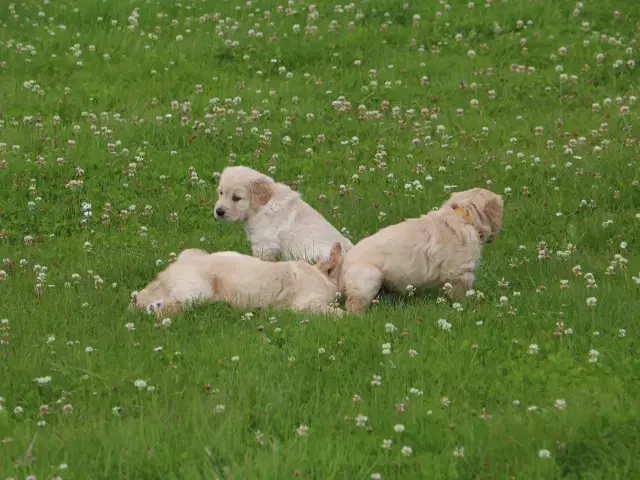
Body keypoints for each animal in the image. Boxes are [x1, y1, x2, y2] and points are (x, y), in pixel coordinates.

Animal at [340, 188, 504, 316]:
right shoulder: (459, 272)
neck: (463, 216)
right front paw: (469, 307)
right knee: (354, 305)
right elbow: (462, 294)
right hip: (368, 277)